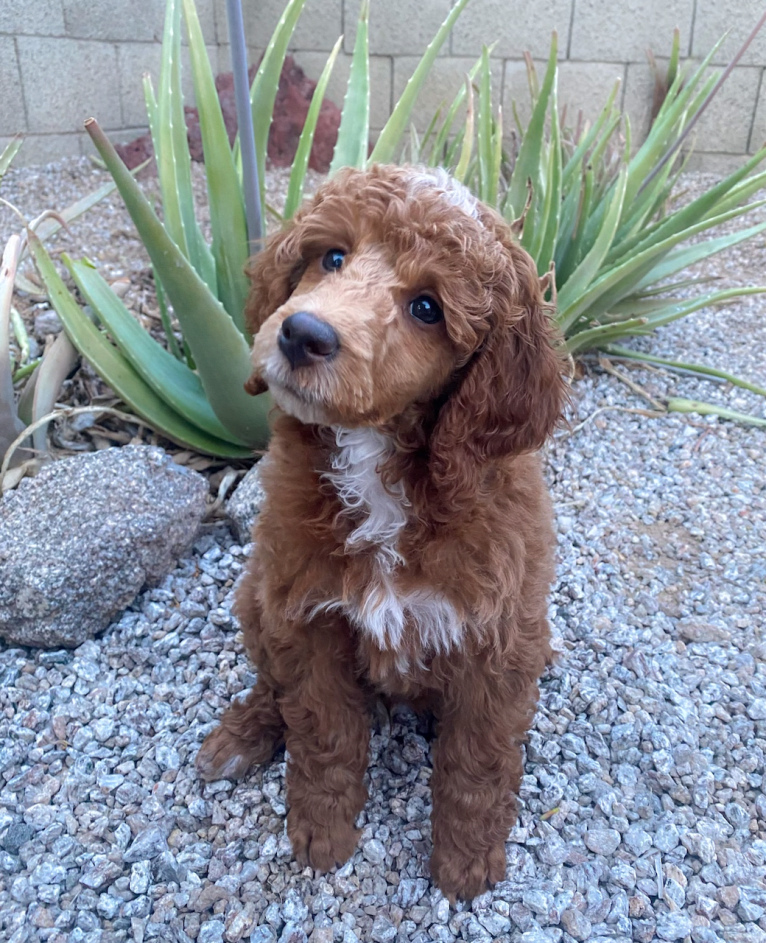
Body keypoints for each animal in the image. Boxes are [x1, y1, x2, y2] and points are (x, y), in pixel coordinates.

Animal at [198, 162, 568, 900]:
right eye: (332, 258)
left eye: (427, 308)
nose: (302, 334)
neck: (380, 461)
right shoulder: (304, 615)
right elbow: (321, 732)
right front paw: (322, 837)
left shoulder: (499, 642)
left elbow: (479, 761)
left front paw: (466, 865)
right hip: (256, 595)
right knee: (269, 681)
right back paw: (241, 734)